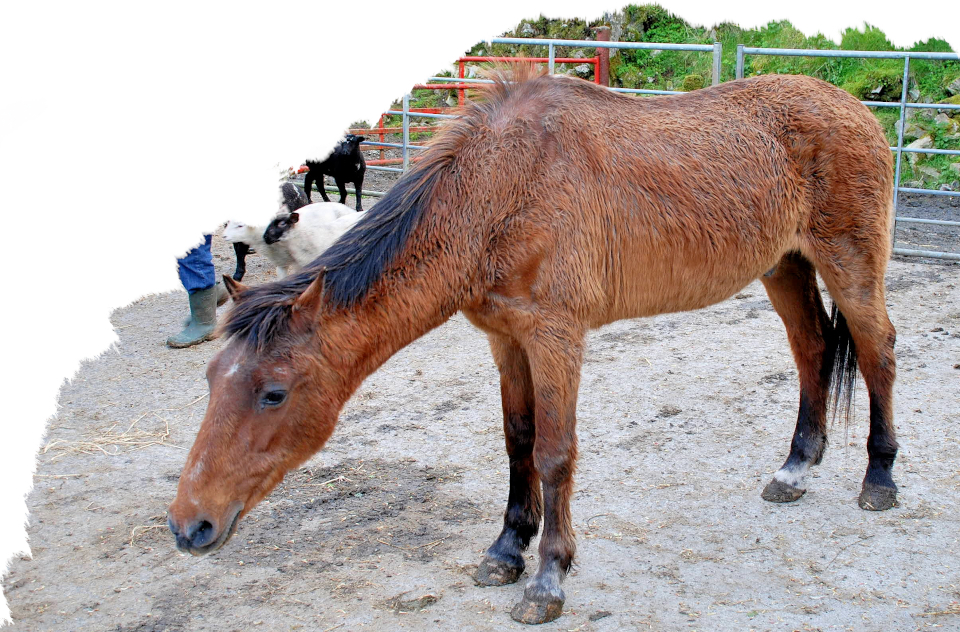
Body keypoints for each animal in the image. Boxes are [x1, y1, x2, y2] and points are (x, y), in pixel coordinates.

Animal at [167, 68, 897, 624]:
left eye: (274, 392)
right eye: (210, 380)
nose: (186, 527)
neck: (495, 193)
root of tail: (856, 109)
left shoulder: (555, 338)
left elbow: (554, 453)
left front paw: (548, 578)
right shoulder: (504, 339)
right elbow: (517, 440)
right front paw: (505, 550)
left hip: (849, 265)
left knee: (879, 352)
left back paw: (879, 480)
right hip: (785, 267)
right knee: (811, 350)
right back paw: (794, 470)